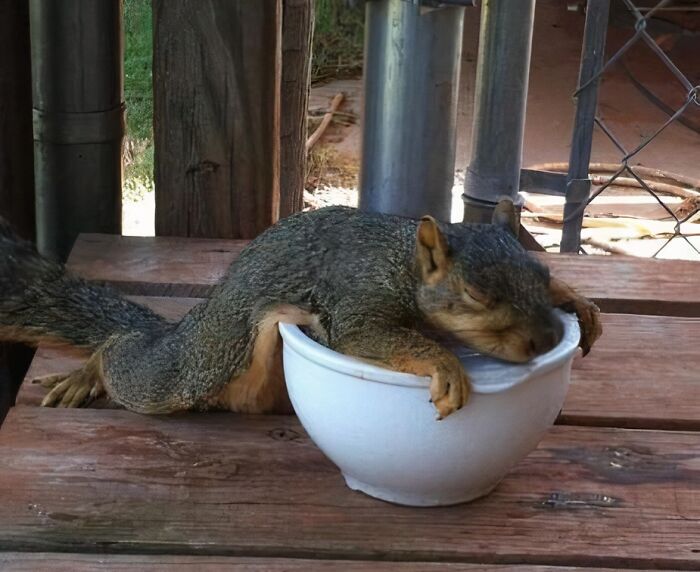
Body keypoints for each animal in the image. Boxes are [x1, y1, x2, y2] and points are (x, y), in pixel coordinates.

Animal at [0, 203, 600, 418]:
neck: (401, 263)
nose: (548, 340)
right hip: (193, 367)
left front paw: (577, 299)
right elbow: (374, 337)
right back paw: (91, 371)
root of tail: (187, 326)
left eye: (539, 273)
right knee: (125, 356)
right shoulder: (356, 300)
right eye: (476, 294)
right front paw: (447, 365)